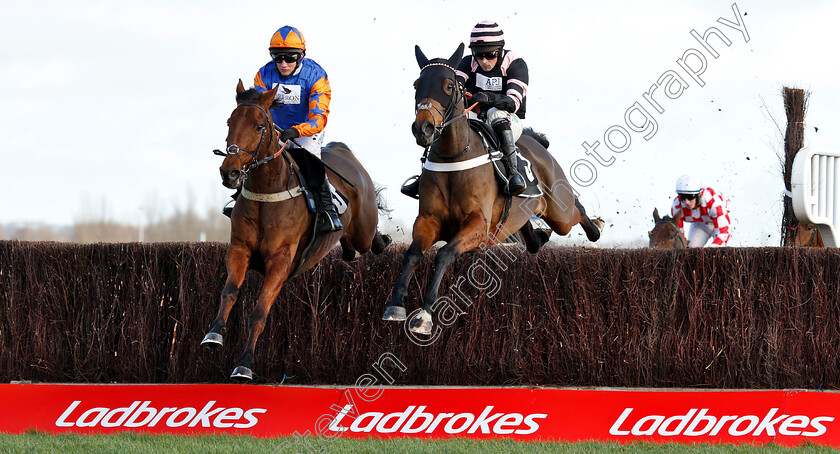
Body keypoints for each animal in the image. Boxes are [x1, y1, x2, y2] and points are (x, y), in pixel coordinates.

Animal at [203, 80, 390, 380]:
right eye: (229, 122)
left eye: (259, 126)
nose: (229, 172)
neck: (267, 192)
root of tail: (345, 152)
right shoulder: (239, 248)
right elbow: (228, 291)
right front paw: (214, 334)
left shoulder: (281, 260)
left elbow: (259, 312)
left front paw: (244, 364)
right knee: (350, 251)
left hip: (364, 228)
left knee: (372, 242)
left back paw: (384, 239)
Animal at [380, 46, 604, 336]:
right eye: (417, 84)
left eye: (449, 85)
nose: (423, 128)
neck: (453, 158)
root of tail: (537, 142)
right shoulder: (428, 221)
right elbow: (412, 255)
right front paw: (395, 305)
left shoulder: (478, 227)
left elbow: (443, 254)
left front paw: (425, 315)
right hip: (518, 218)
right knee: (531, 240)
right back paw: (541, 236)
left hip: (559, 212)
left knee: (574, 210)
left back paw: (596, 227)